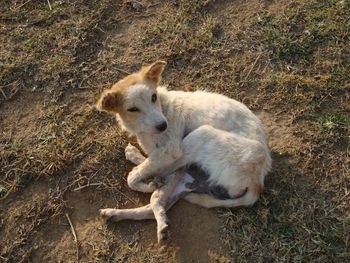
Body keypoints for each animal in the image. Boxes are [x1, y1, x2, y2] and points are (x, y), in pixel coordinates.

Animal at [95, 61, 270, 243]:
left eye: (153, 97)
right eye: (133, 109)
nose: (163, 125)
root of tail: (258, 182)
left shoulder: (172, 149)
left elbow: (134, 176)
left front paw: (145, 183)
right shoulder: (162, 154)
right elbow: (148, 164)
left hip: (201, 135)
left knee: (159, 187)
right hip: (184, 180)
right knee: (152, 206)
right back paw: (117, 213)